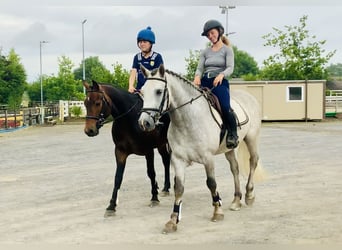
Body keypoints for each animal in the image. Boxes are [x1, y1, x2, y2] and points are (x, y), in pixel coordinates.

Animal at [82, 80, 170, 217]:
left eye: (97, 103)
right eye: (85, 103)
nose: (89, 130)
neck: (129, 118)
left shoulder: (148, 151)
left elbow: (151, 173)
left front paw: (154, 197)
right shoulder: (120, 152)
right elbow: (118, 177)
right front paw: (111, 205)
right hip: (161, 145)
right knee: (166, 160)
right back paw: (166, 187)